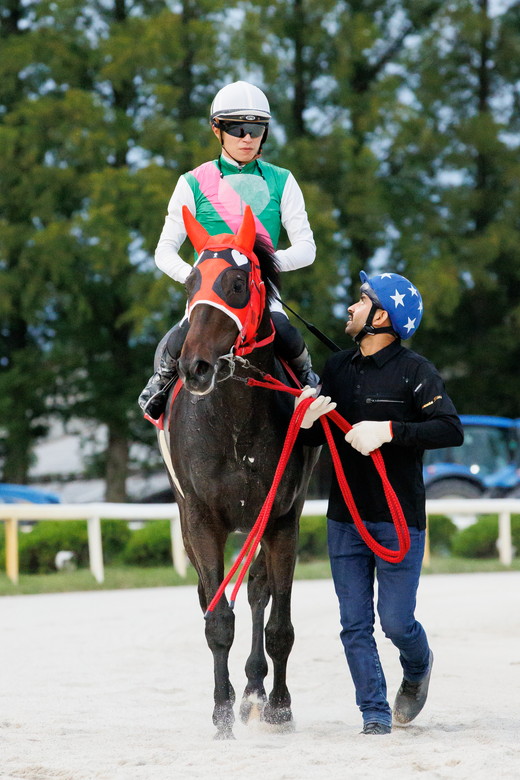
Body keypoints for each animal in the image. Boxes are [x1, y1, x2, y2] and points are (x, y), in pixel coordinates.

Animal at [159, 205, 320, 739]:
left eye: (235, 283)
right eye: (192, 282)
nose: (195, 366)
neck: (231, 420)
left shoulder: (281, 518)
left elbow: (278, 625)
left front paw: (278, 707)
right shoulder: (200, 520)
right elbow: (217, 620)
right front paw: (222, 715)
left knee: (256, 593)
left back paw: (253, 690)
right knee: (213, 597)